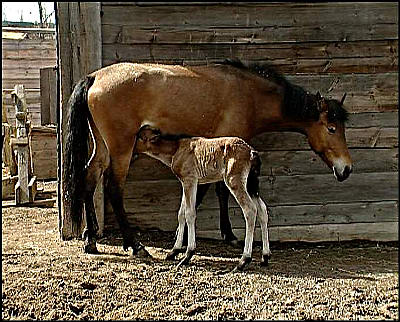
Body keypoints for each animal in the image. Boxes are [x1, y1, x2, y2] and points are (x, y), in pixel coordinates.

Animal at [64, 59, 352, 254]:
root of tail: (95, 76)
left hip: (103, 147)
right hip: (121, 149)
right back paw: (133, 244)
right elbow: (216, 191)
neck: (249, 94)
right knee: (113, 188)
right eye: (331, 128)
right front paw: (225, 235)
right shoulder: (225, 147)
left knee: (89, 176)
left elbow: (210, 192)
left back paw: (90, 239)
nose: (346, 168)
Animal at [136, 124, 270, 270]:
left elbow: (189, 213)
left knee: (250, 210)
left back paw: (243, 260)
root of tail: (252, 152)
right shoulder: (187, 183)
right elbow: (181, 214)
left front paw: (188, 255)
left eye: (139, 137)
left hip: (235, 181)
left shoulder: (190, 180)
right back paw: (265, 257)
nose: (132, 152)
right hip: (252, 185)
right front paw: (173, 251)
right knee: (262, 210)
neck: (177, 149)